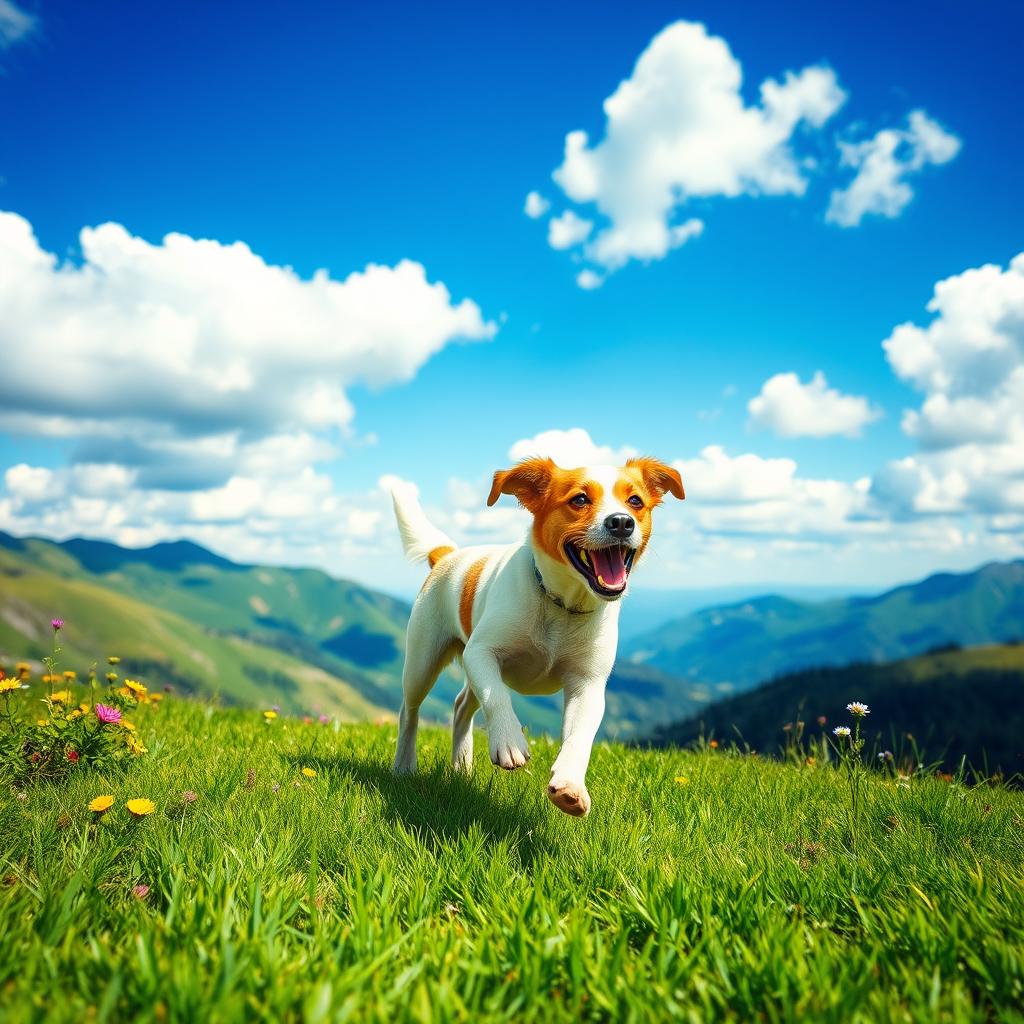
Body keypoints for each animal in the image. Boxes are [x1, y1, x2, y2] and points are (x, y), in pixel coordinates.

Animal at [387, 456, 684, 815]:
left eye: (636, 501)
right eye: (579, 499)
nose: (621, 523)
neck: (561, 604)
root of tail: (446, 555)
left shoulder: (587, 684)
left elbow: (580, 736)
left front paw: (570, 784)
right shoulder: (482, 653)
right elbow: (498, 696)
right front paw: (509, 741)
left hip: (466, 674)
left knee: (460, 707)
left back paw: (461, 767)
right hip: (423, 661)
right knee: (410, 711)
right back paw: (404, 766)